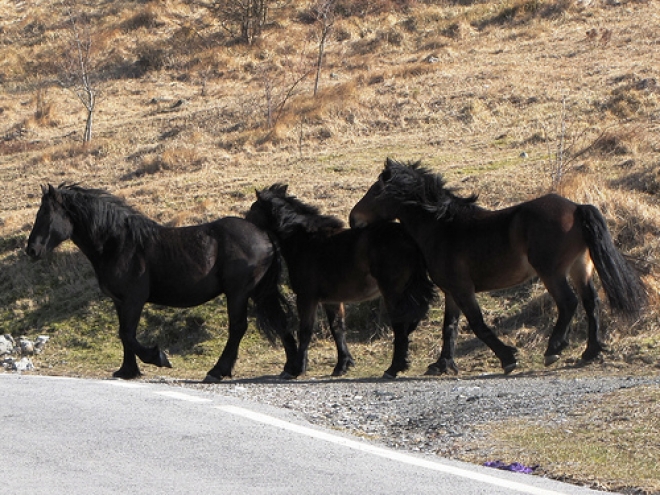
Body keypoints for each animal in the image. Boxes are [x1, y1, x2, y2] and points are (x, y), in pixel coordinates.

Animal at [25, 184, 294, 382]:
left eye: (46, 215)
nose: (31, 250)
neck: (119, 243)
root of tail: (263, 234)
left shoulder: (134, 299)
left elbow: (128, 334)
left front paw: (158, 357)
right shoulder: (120, 301)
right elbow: (124, 335)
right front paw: (127, 371)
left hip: (238, 293)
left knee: (238, 328)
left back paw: (217, 371)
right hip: (260, 292)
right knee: (280, 322)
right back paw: (291, 368)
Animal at [245, 185, 436, 380]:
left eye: (253, 210)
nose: (245, 226)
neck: (307, 242)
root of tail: (408, 238)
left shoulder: (306, 297)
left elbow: (305, 331)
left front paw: (296, 369)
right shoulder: (332, 300)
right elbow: (337, 329)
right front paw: (342, 365)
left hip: (392, 292)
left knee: (400, 323)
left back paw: (394, 368)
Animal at [348, 157, 648, 374]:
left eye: (376, 191)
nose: (353, 218)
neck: (442, 227)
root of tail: (575, 207)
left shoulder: (463, 289)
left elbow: (477, 324)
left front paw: (508, 358)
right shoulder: (451, 292)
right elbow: (449, 327)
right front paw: (442, 365)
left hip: (552, 272)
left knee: (568, 303)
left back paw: (553, 349)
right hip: (579, 268)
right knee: (590, 302)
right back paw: (591, 351)